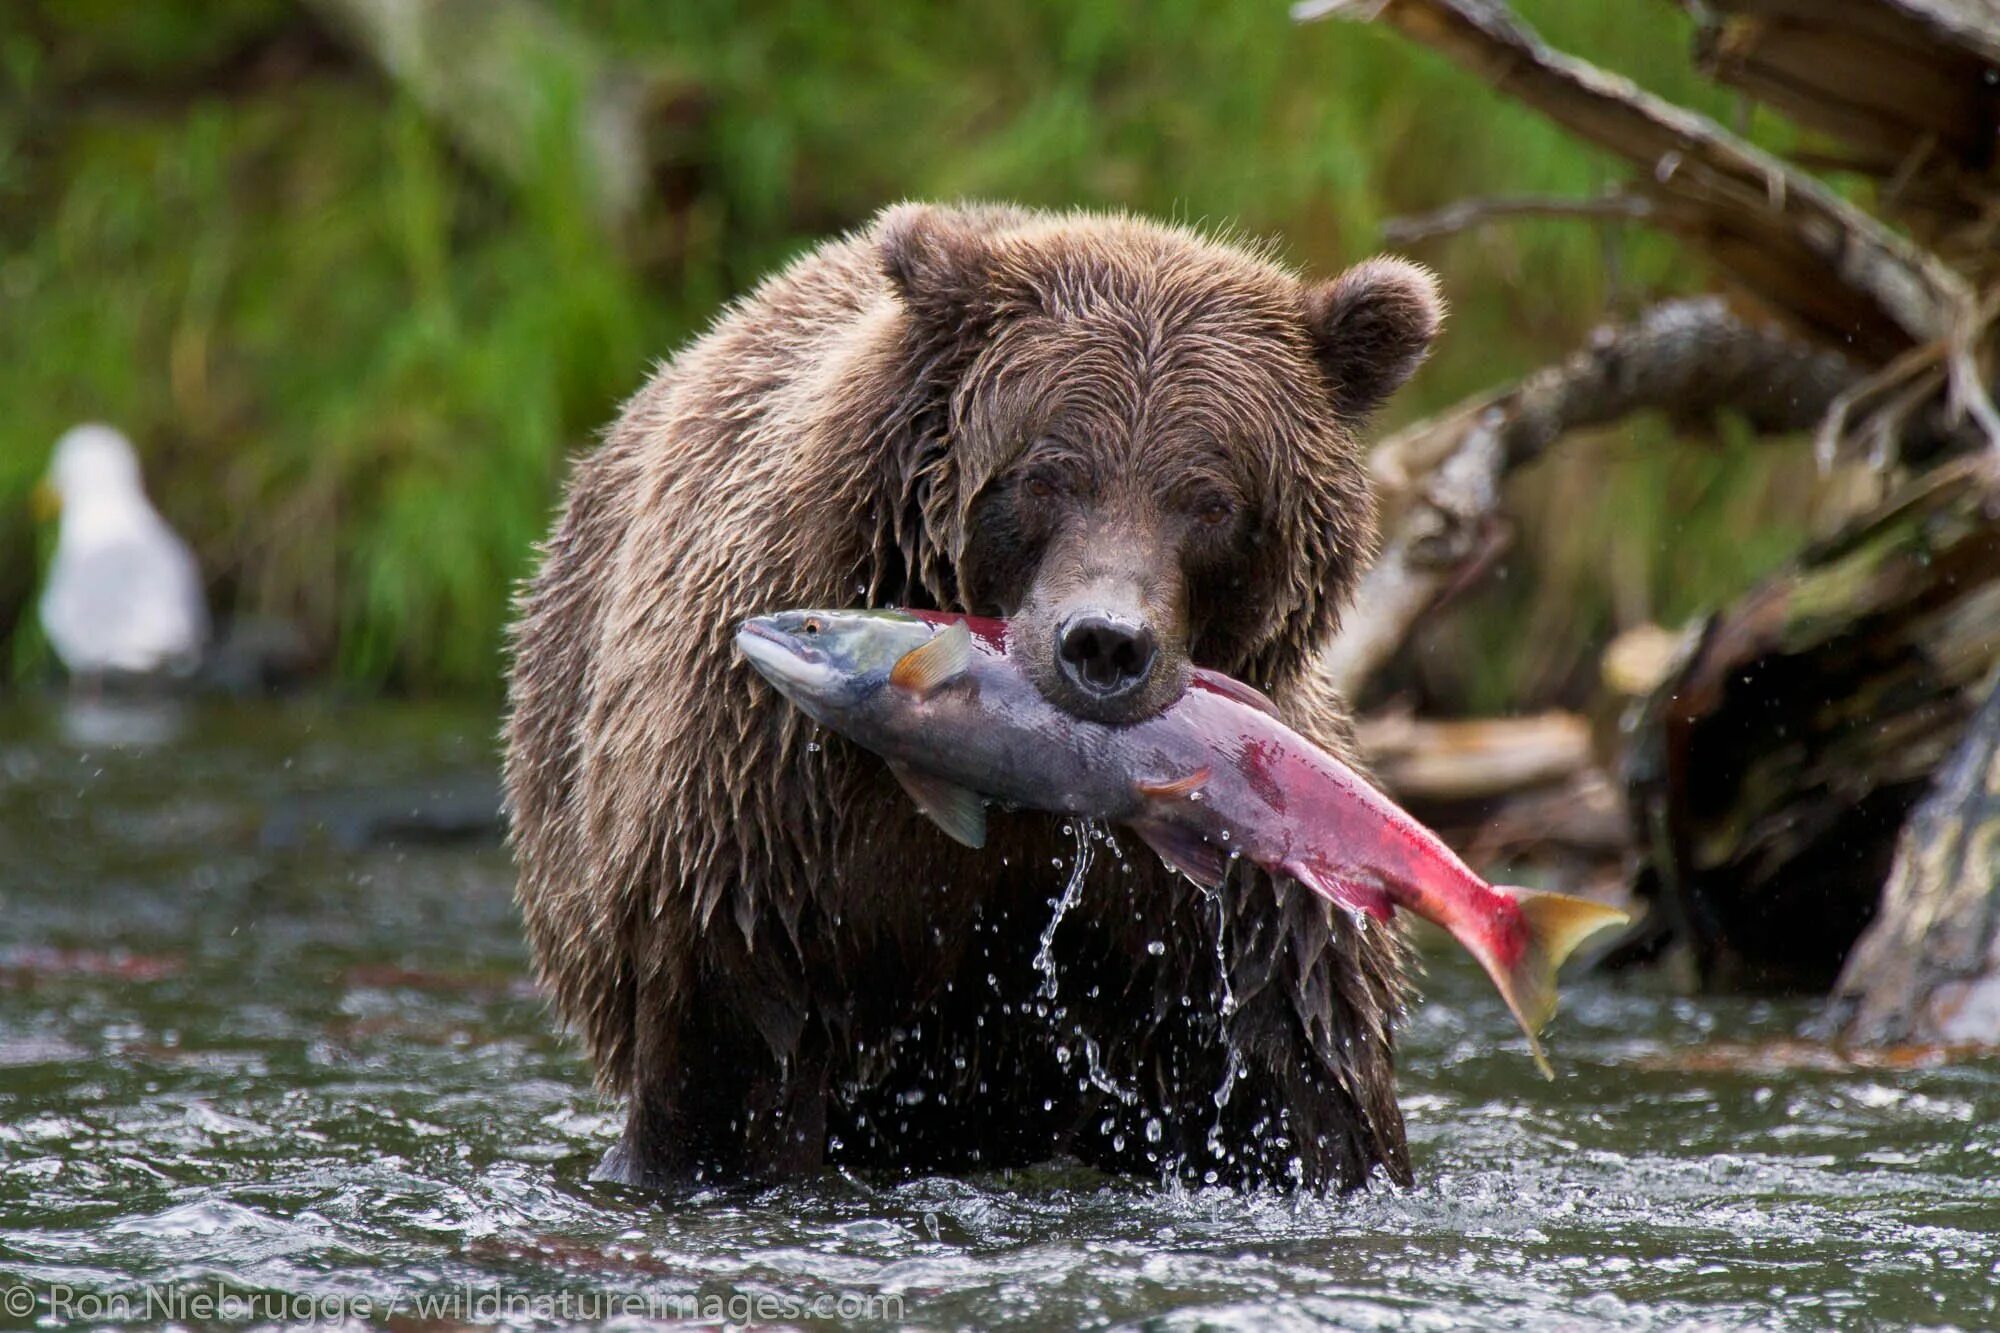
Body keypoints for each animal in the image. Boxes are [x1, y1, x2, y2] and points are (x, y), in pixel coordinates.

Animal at [500, 202, 1440, 1184]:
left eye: (1212, 500)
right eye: (1046, 474)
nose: (1106, 643)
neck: (1039, 785)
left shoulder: (1235, 897)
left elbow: (1302, 1079)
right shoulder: (766, 817)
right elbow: (730, 1067)